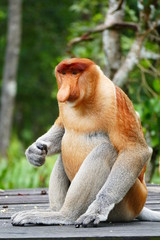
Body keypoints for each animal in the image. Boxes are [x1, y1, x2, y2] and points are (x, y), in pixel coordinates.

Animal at [11, 58, 159, 227]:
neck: (84, 101)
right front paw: (34, 152)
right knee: (63, 156)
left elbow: (135, 150)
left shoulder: (115, 99)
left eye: (75, 73)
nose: (64, 90)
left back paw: (63, 216)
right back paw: (53, 210)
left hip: (131, 199)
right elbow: (62, 129)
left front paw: (96, 211)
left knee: (105, 151)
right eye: (64, 73)